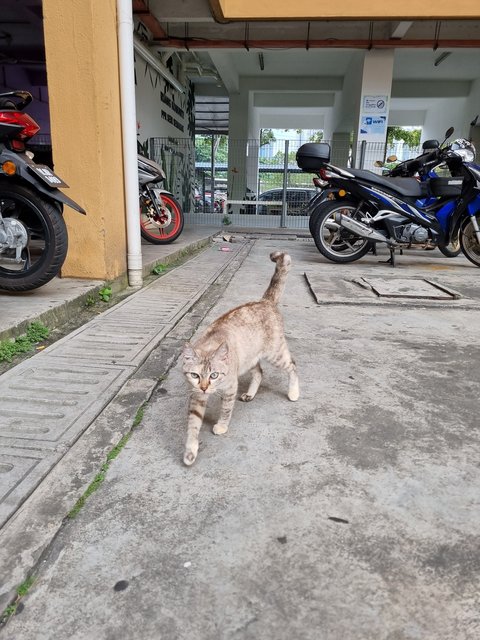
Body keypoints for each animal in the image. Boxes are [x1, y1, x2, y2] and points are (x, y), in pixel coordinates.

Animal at [182, 252, 298, 468]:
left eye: (214, 375)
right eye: (195, 375)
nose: (204, 387)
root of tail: (265, 301)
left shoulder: (230, 388)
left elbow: (226, 410)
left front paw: (221, 426)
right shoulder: (196, 396)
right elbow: (193, 425)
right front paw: (190, 450)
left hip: (275, 354)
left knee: (293, 365)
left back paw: (294, 392)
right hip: (249, 359)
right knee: (260, 372)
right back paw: (250, 394)